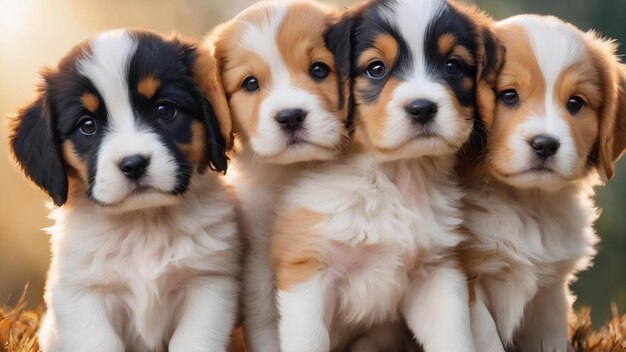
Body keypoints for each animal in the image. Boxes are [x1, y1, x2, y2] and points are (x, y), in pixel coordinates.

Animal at [8, 28, 240, 350]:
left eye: (164, 109)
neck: (143, 224)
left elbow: (193, 341)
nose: (133, 164)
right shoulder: (83, 294)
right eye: (87, 125)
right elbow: (99, 341)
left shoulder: (208, 283)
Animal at [211, 1, 352, 350]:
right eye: (250, 83)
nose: (290, 117)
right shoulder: (259, 257)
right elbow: (264, 320)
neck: (290, 175)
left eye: (319, 69)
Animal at [270, 0, 500, 352]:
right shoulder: (307, 271)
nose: (422, 108)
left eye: (453, 65)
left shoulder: (437, 273)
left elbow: (454, 337)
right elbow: (309, 339)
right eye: (376, 68)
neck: (392, 178)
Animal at [458, 13, 624, 352]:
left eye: (575, 103)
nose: (545, 144)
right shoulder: (470, 284)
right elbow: (488, 340)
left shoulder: (549, 293)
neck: (525, 202)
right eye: (508, 95)